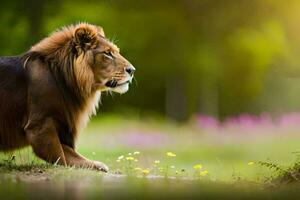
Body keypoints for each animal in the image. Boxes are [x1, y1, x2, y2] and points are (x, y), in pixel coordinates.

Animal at [0, 23, 135, 172]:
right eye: (107, 53)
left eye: (116, 51)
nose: (132, 70)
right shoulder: (39, 126)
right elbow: (62, 157)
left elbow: (73, 156)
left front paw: (100, 166)